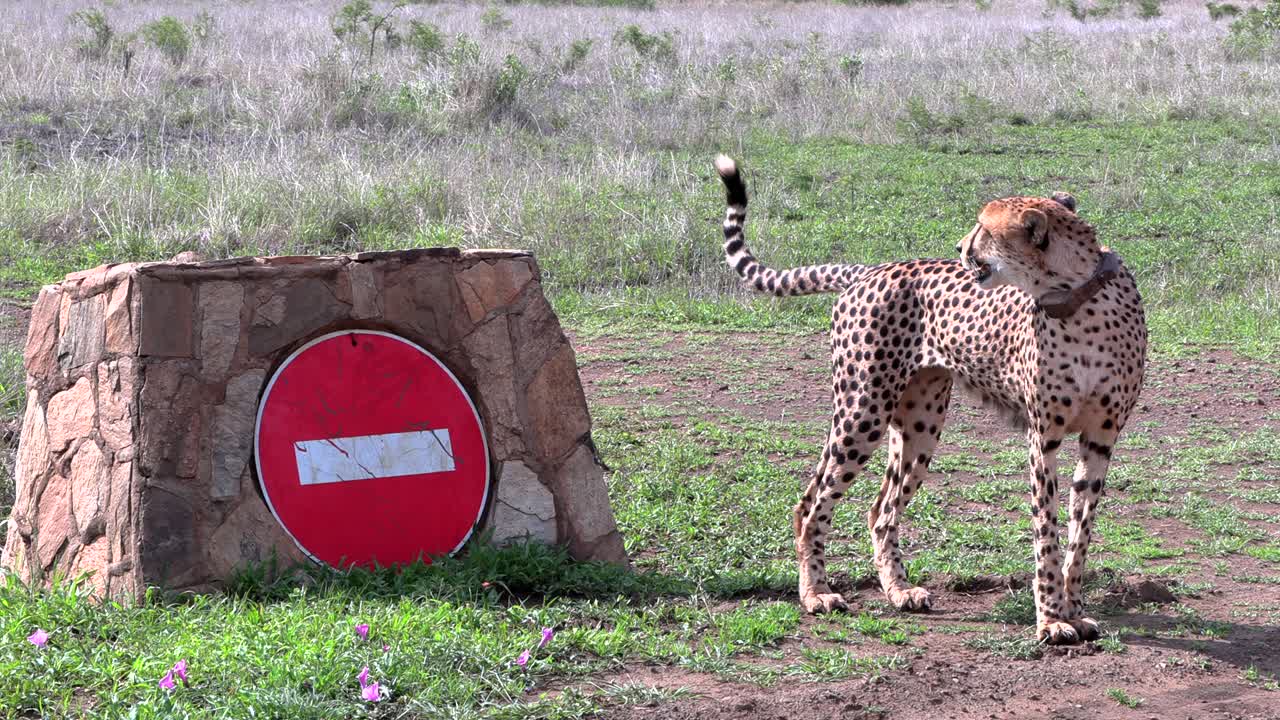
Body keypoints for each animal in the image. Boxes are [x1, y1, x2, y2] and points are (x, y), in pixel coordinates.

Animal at [713, 155, 1147, 644]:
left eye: (982, 228)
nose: (959, 246)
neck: (1075, 296)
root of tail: (870, 269)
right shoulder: (1043, 438)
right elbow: (1047, 534)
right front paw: (1052, 618)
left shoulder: (1101, 439)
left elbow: (1080, 533)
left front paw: (1074, 609)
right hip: (862, 412)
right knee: (815, 506)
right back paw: (816, 594)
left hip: (918, 429)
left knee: (877, 511)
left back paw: (898, 590)